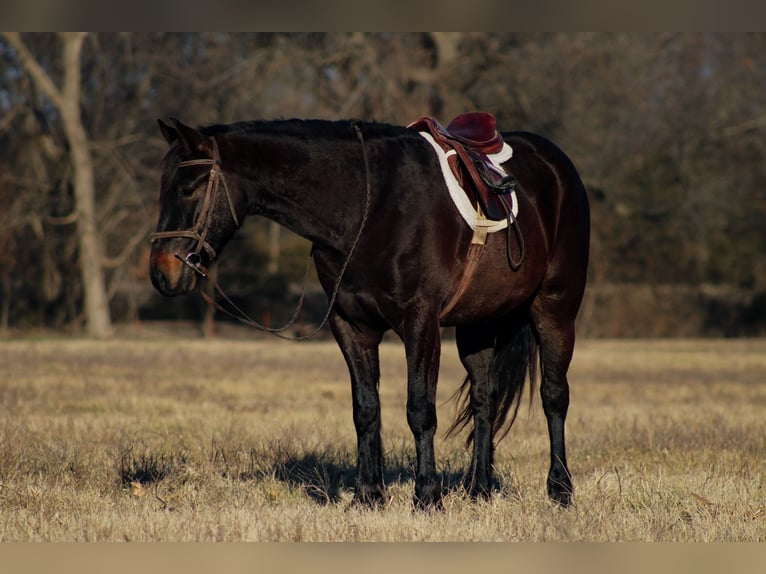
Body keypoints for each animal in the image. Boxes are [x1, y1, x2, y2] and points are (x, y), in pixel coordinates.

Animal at [149, 115, 590, 509]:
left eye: (188, 188)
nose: (161, 273)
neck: (370, 204)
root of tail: (556, 164)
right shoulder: (352, 326)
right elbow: (366, 409)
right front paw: (368, 495)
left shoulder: (420, 323)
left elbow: (419, 410)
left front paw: (426, 497)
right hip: (477, 326)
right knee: (485, 399)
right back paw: (478, 489)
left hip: (554, 310)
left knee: (554, 396)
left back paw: (560, 490)